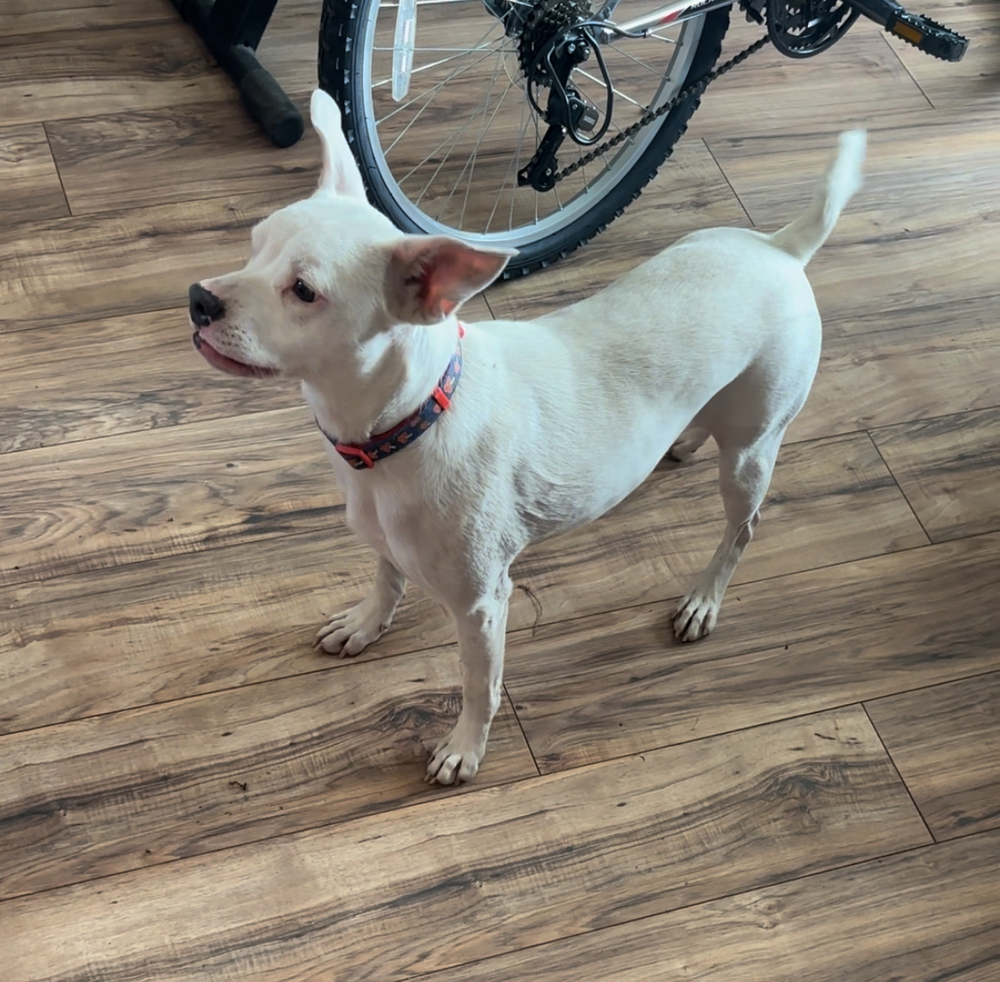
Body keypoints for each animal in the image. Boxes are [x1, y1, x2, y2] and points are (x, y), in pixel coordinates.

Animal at [191, 90, 864, 784]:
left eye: (303, 291)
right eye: (253, 246)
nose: (199, 299)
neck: (409, 419)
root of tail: (781, 249)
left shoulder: (482, 605)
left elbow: (479, 684)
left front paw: (465, 748)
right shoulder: (387, 541)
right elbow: (386, 579)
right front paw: (365, 624)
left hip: (752, 454)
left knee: (741, 530)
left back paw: (704, 598)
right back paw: (683, 438)